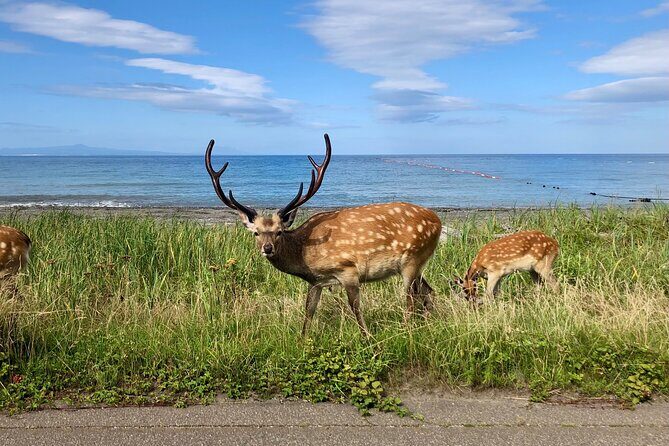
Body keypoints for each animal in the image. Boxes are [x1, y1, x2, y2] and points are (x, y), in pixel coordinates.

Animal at [205, 134, 442, 337]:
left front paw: (367, 339)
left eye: (279, 232)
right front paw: (303, 341)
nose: (267, 248)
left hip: (412, 260)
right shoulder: (316, 281)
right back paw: (427, 325)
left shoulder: (348, 270)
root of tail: (438, 221)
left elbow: (355, 308)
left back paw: (406, 331)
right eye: (256, 233)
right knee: (428, 292)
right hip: (418, 264)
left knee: (411, 299)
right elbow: (309, 310)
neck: (305, 255)